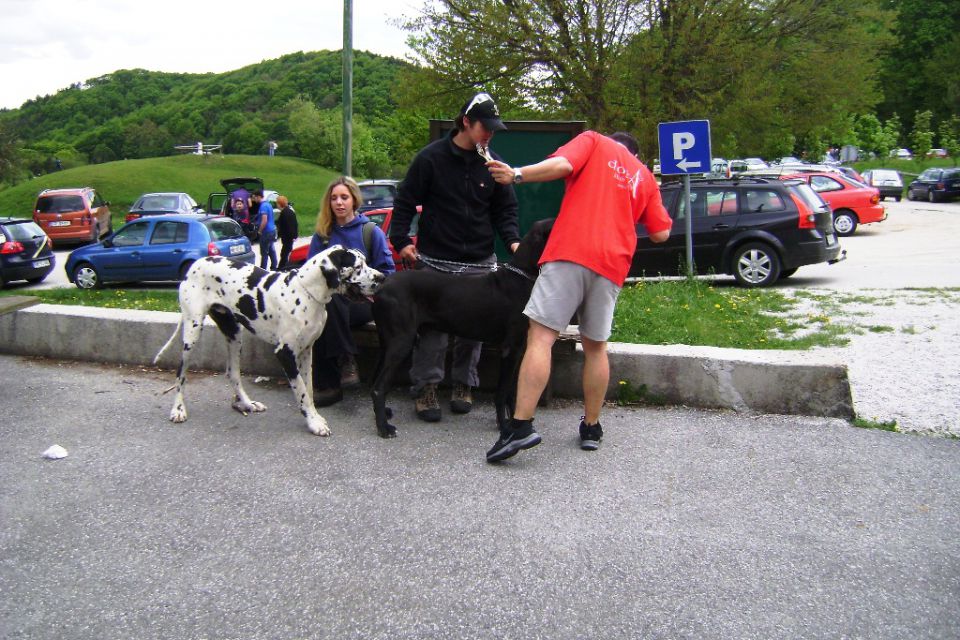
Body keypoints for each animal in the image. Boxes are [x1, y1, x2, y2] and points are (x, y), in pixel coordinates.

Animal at [156, 245, 384, 436]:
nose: (382, 277)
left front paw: (314, 417)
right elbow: (301, 390)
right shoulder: (285, 353)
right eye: (358, 266)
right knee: (180, 373)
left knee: (232, 373)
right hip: (192, 333)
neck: (307, 293)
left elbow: (309, 389)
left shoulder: (306, 351)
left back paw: (247, 404)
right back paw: (178, 409)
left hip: (234, 334)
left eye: (366, 262)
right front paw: (313, 423)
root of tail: (196, 263)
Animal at [374, 218, 556, 438]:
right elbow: (503, 392)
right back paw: (384, 427)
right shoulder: (510, 348)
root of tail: (382, 286)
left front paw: (512, 423)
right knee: (378, 388)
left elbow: (513, 392)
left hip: (388, 342)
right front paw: (506, 427)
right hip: (402, 341)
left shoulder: (518, 349)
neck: (520, 277)